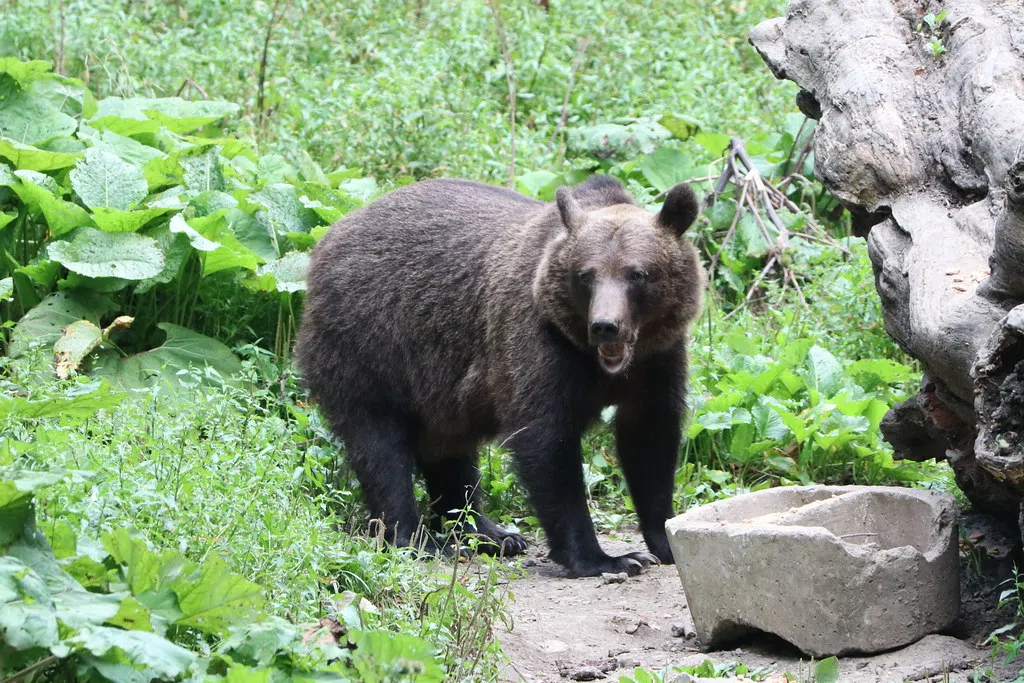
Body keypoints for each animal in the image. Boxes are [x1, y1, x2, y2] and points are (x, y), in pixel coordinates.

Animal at [296, 176, 704, 577]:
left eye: (638, 274)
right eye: (585, 275)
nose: (605, 326)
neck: (602, 364)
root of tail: (328, 238)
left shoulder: (658, 361)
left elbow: (650, 442)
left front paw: (665, 541)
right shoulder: (540, 347)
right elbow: (547, 445)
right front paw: (606, 558)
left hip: (441, 386)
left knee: (451, 454)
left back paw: (490, 533)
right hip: (372, 347)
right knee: (381, 447)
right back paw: (420, 539)